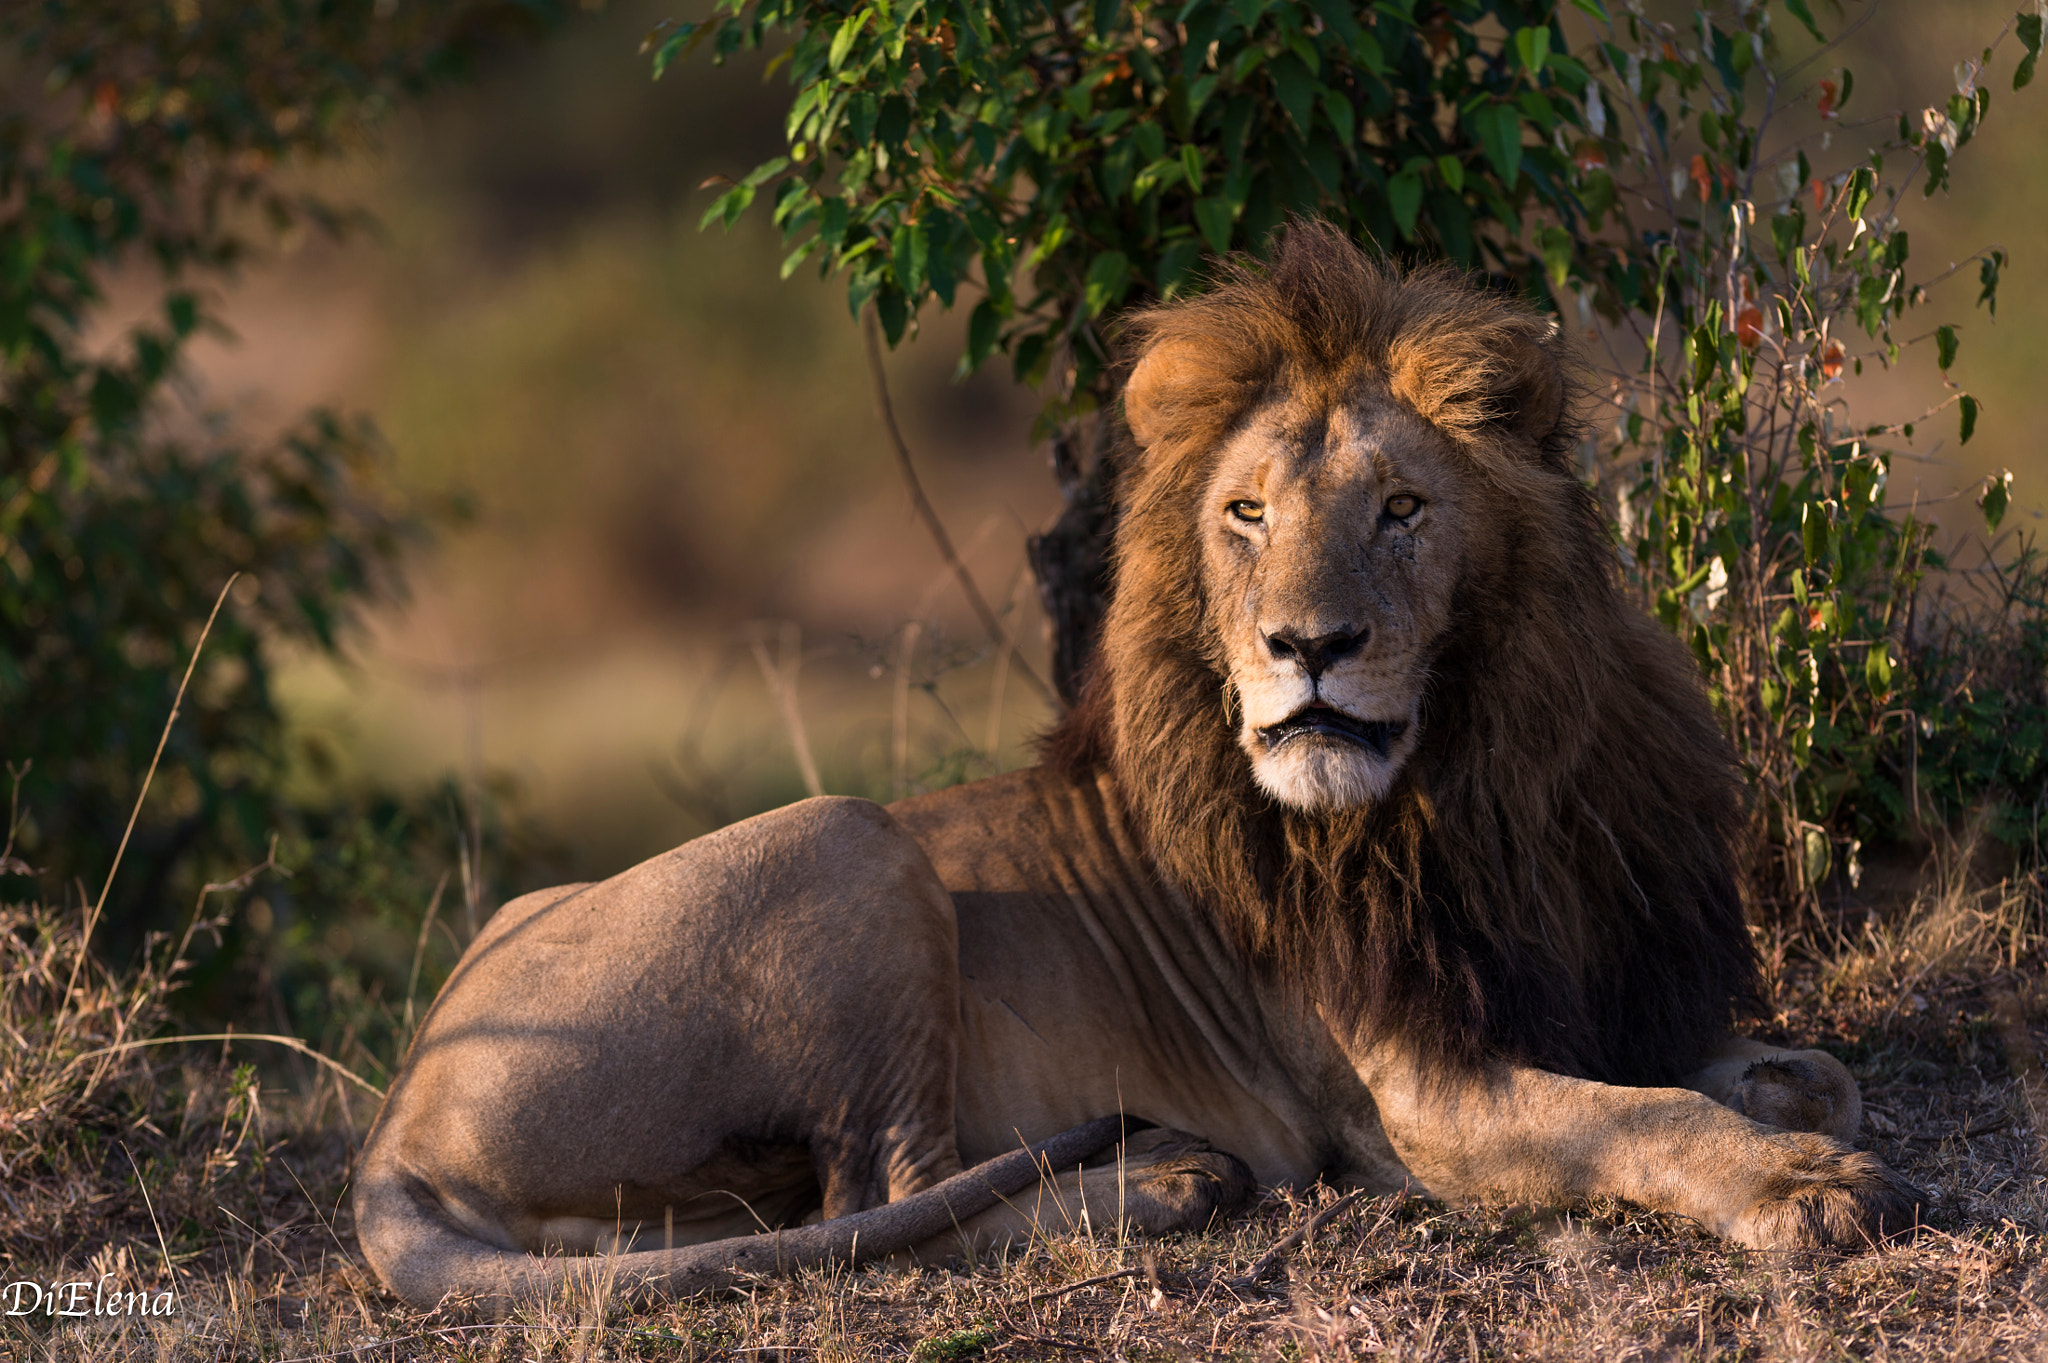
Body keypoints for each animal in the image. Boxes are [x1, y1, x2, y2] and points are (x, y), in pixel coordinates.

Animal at [354, 224, 1923, 1313]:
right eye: (1246, 514)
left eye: (1401, 508)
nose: (1306, 644)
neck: (1484, 782)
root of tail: (400, 1108)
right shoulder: (1417, 1099)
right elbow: (1643, 1117)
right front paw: (1796, 1188)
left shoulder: (1590, 990)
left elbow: (1804, 1073)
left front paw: (1791, 1115)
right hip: (852, 837)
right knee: (893, 1193)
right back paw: (1170, 1177)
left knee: (810, 1213)